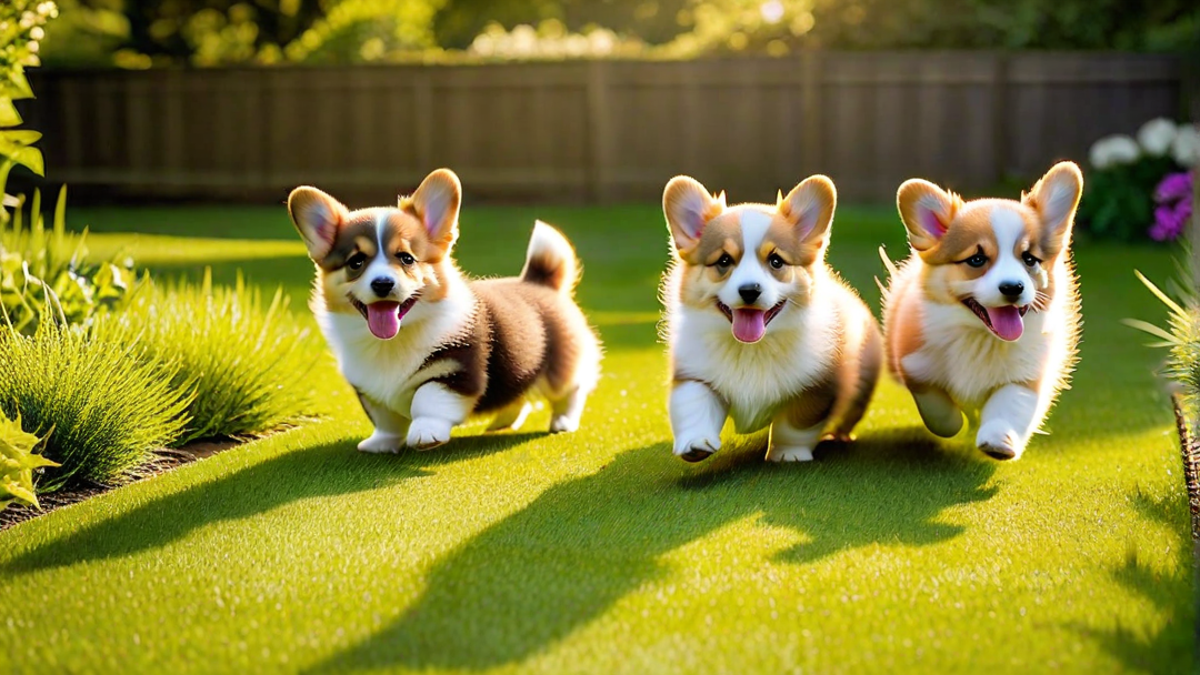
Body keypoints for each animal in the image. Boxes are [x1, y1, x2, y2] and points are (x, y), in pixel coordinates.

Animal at [282, 168, 600, 451]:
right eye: (356, 262)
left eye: (406, 258)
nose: (383, 284)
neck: (393, 342)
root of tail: (540, 280)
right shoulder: (370, 389)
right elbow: (385, 420)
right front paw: (380, 444)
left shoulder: (454, 370)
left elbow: (427, 398)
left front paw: (425, 433)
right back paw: (502, 421)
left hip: (560, 368)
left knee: (573, 388)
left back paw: (563, 421)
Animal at [662, 172, 888, 461]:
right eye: (723, 261)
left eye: (776, 261)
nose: (750, 290)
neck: (751, 348)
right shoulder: (693, 374)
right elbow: (693, 404)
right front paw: (696, 443)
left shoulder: (817, 386)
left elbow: (793, 425)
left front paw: (787, 455)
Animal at [883, 159, 1089, 458]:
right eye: (977, 259)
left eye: (1029, 259)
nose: (1013, 287)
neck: (981, 338)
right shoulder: (916, 367)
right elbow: (938, 410)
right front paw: (954, 424)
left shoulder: (1026, 376)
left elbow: (1009, 405)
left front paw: (997, 441)